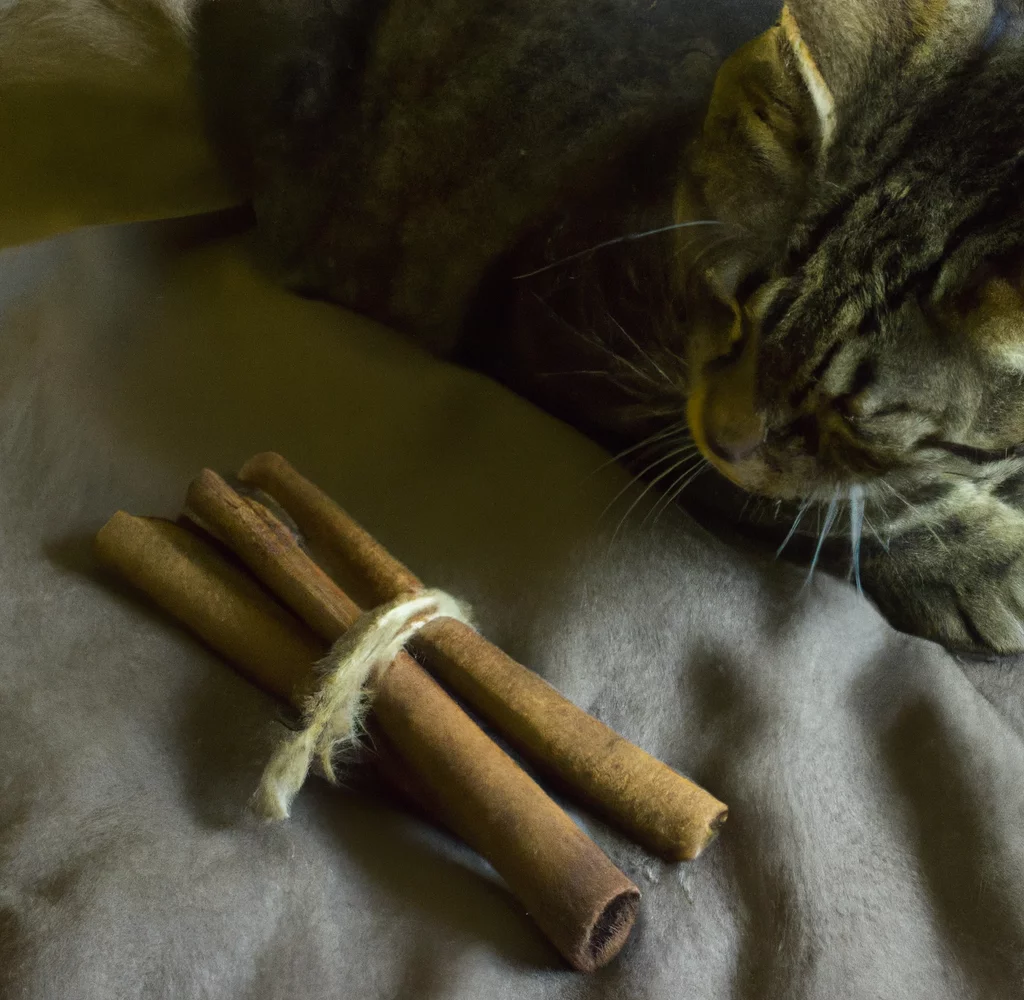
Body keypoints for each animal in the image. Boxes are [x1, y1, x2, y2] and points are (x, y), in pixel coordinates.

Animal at [195, 0, 1024, 650]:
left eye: (854, 423)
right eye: (729, 306)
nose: (724, 438)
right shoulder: (560, 335)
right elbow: (809, 507)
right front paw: (976, 560)